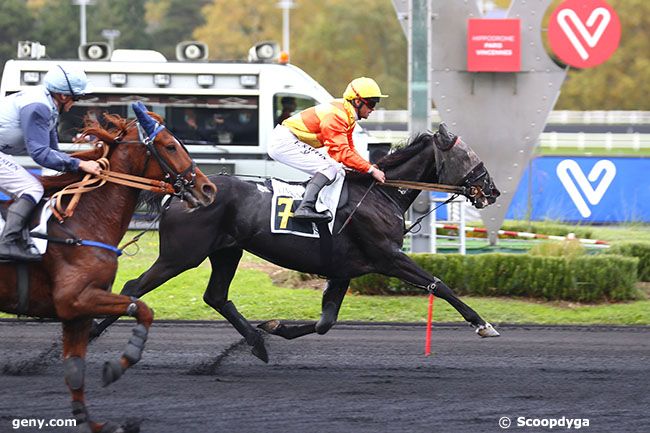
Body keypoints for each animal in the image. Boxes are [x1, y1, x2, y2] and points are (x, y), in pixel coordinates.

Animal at [0, 102, 218, 432]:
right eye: (170, 145)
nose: (208, 188)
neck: (81, 222)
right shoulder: (75, 299)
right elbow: (143, 309)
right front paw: (119, 364)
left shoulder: (76, 312)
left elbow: (75, 369)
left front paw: (95, 422)